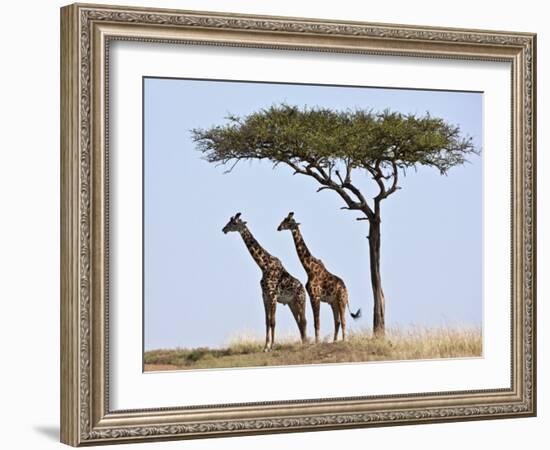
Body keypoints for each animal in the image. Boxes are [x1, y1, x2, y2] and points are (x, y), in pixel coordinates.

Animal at [224, 212, 310, 352]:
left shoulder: (273, 295)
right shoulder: (264, 296)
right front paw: (265, 347)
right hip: (291, 303)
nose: (224, 229)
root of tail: (302, 287)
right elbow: (267, 321)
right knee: (299, 321)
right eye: (229, 221)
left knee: (303, 320)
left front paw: (272, 346)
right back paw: (303, 342)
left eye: (234, 223)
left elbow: (273, 321)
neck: (263, 266)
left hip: (301, 300)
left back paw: (306, 342)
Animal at [276, 213, 362, 342]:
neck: (309, 269)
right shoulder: (313, 297)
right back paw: (334, 341)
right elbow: (316, 321)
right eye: (283, 219)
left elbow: (317, 322)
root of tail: (346, 290)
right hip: (333, 303)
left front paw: (317, 341)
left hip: (341, 300)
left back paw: (343, 340)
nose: (279, 227)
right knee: (337, 321)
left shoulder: (315, 296)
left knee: (343, 320)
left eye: (288, 222)